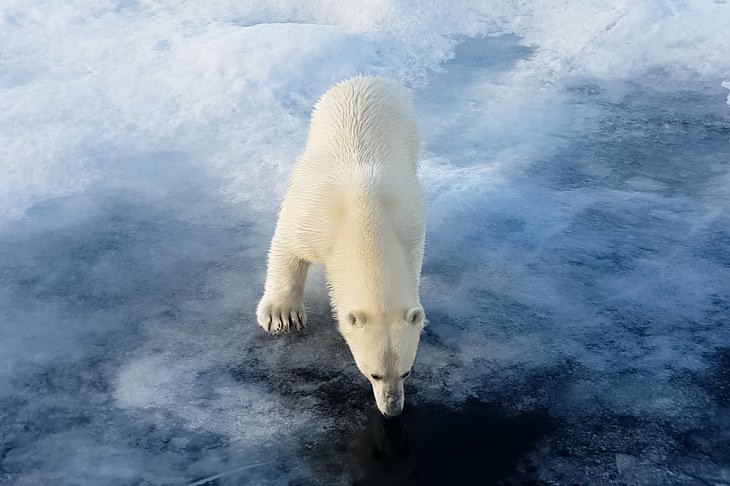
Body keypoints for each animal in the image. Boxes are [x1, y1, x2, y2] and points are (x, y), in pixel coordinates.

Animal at [258, 76, 424, 418]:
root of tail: (367, 79)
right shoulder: (313, 216)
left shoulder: (409, 224)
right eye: (373, 373)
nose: (393, 410)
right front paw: (282, 316)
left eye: (406, 371)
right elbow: (287, 246)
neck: (364, 217)